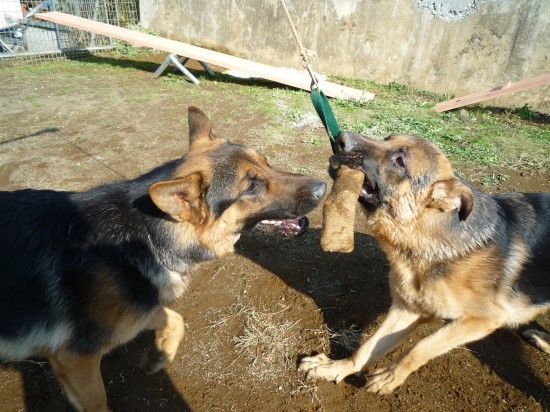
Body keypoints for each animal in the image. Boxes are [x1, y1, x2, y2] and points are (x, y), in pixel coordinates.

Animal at [0, 107, 328, 412]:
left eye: (265, 162)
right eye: (250, 186)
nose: (323, 187)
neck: (148, 235)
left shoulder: (139, 312)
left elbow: (175, 319)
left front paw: (158, 357)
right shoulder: (75, 357)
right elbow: (98, 402)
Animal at [302, 133, 550, 396]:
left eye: (400, 161)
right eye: (387, 138)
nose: (340, 137)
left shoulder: (484, 319)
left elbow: (422, 346)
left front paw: (390, 376)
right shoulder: (406, 310)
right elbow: (367, 348)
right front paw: (336, 367)